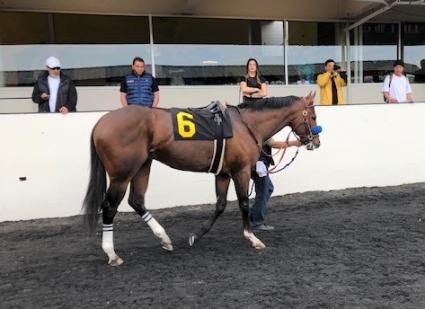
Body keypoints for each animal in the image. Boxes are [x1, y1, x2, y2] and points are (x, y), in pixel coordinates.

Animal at [82, 92, 318, 264]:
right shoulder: (240, 170)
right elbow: (243, 203)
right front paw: (253, 238)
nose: (315, 142)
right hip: (122, 175)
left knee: (137, 201)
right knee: (109, 207)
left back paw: (164, 238)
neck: (246, 124)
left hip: (143, 166)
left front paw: (196, 235)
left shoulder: (223, 173)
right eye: (313, 116)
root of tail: (102, 121)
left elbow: (220, 205)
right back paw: (112, 253)